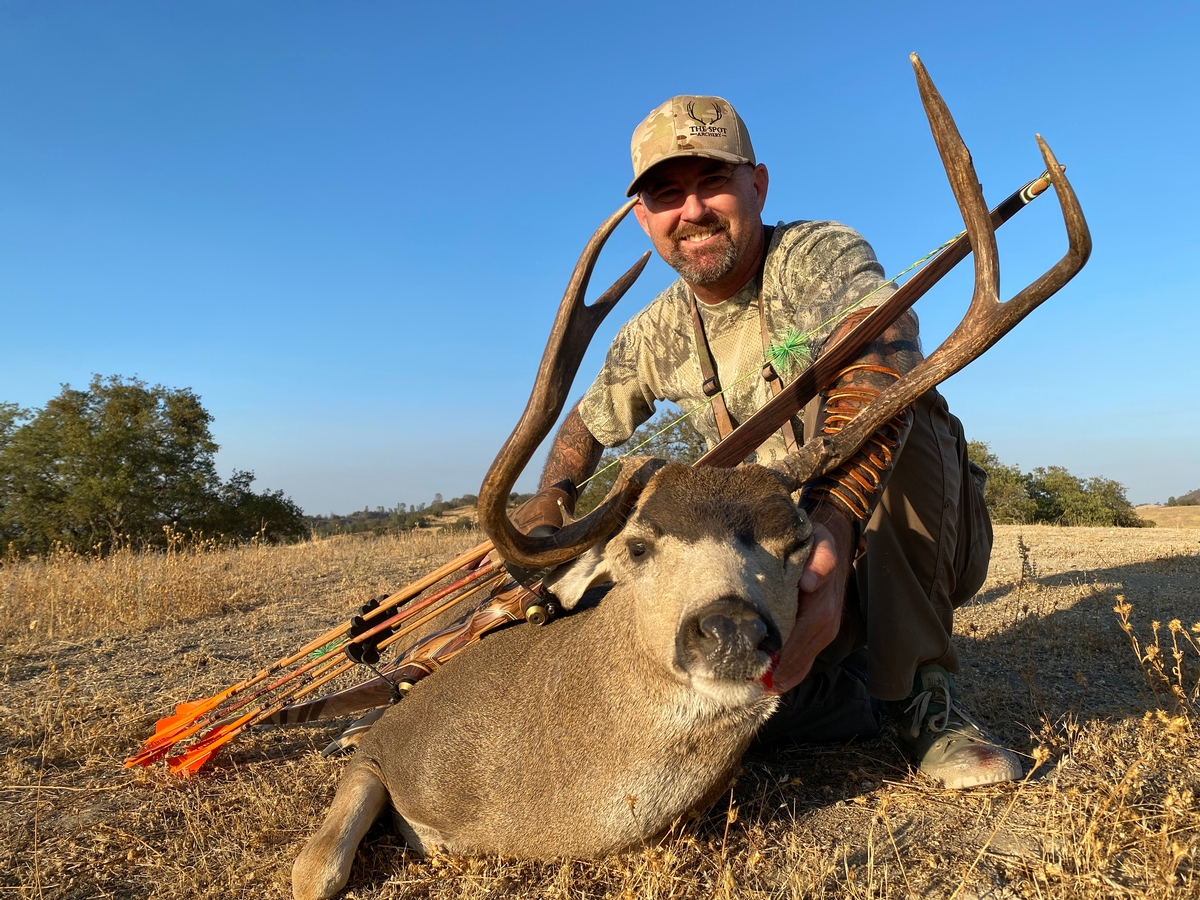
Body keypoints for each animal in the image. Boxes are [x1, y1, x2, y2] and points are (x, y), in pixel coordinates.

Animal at [288, 58, 1089, 900]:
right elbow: (316, 867)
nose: (731, 627)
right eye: (638, 546)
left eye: (798, 541)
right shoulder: (386, 746)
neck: (529, 802)